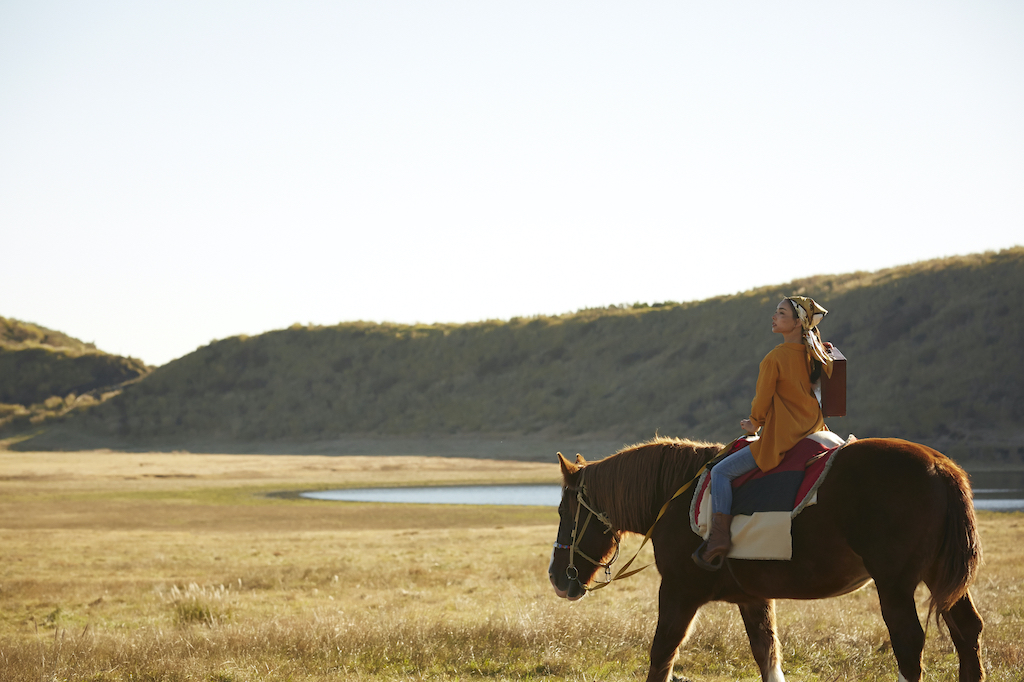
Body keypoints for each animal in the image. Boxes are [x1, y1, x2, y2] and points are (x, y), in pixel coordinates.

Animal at [548, 436, 978, 679]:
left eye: (564, 511)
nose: (556, 577)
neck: (674, 497)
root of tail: (941, 468)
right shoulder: (754, 598)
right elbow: (766, 654)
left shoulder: (678, 592)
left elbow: (661, 655)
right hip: (939, 579)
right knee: (967, 632)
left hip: (895, 586)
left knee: (909, 644)